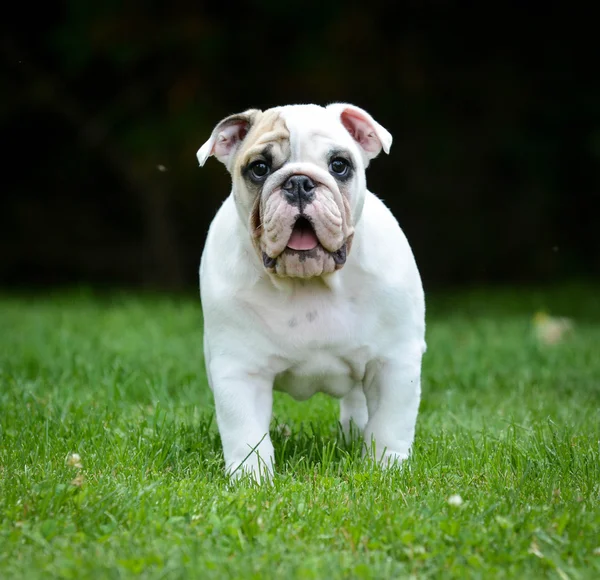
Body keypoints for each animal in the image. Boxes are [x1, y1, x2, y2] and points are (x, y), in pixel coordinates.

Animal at [197, 104, 426, 480]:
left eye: (339, 165)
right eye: (259, 168)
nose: (299, 182)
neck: (309, 281)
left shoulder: (393, 361)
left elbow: (388, 425)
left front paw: (385, 468)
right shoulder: (239, 370)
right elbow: (246, 432)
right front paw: (251, 478)